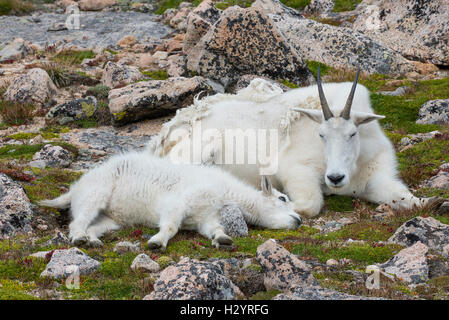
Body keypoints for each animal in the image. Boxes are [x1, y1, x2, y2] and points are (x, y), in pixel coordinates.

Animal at [150, 69, 434, 218]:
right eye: (321, 135)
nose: (335, 178)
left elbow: (409, 199)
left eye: (353, 134)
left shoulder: (376, 177)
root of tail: (165, 134)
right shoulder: (297, 170)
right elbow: (309, 204)